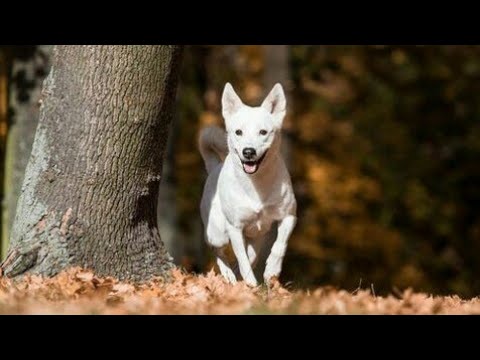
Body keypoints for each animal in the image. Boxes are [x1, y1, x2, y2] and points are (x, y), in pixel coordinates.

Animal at [199, 82, 296, 286]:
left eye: (263, 132)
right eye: (238, 132)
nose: (248, 152)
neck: (256, 183)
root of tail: (215, 167)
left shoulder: (289, 216)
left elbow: (280, 245)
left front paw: (272, 270)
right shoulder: (235, 228)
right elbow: (242, 259)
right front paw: (251, 284)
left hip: (256, 236)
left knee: (251, 256)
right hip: (217, 233)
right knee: (217, 250)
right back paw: (228, 274)